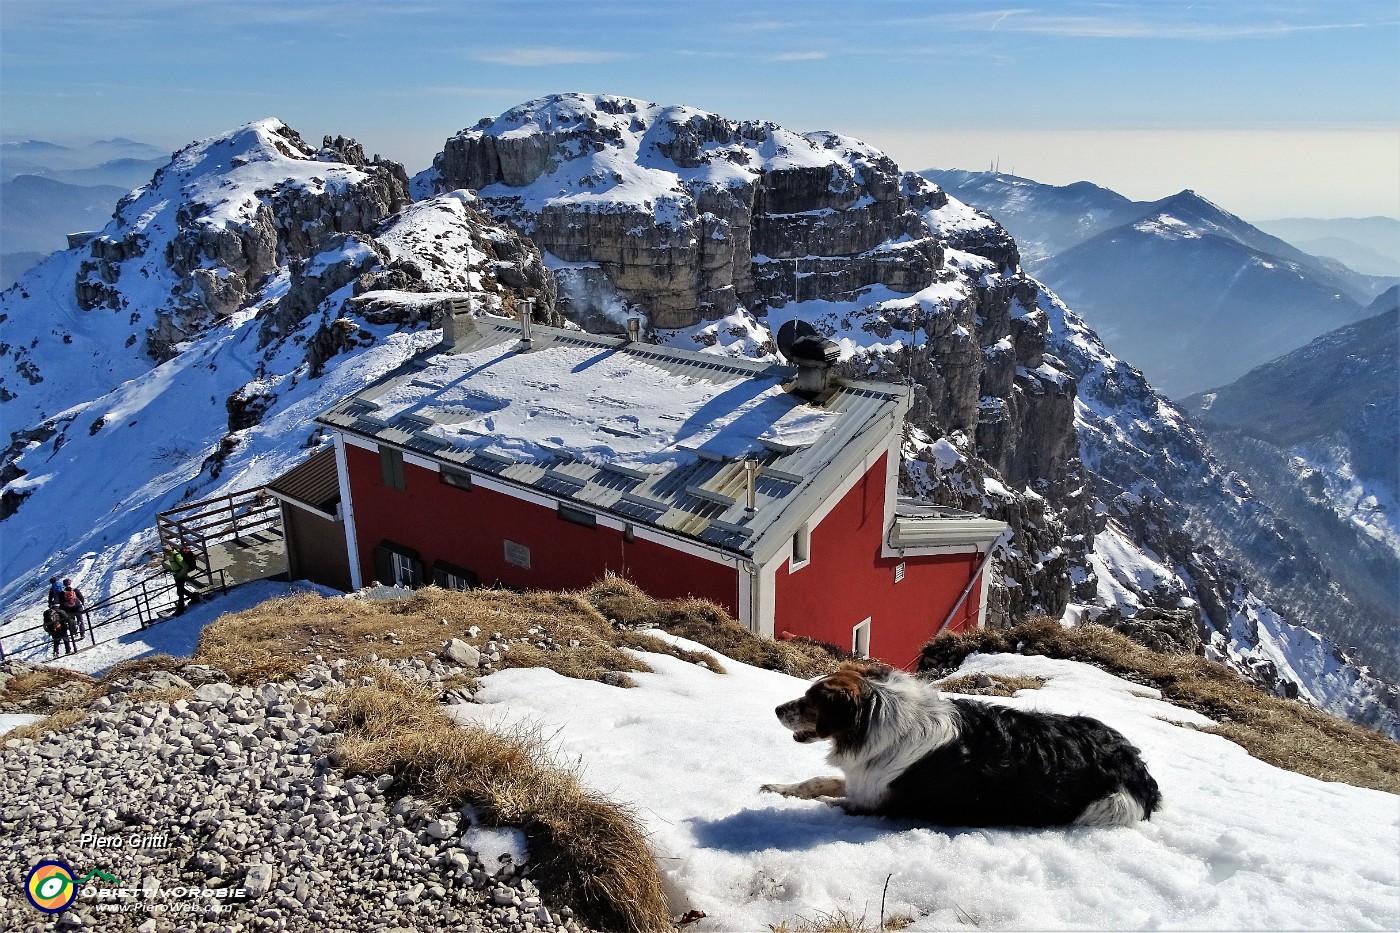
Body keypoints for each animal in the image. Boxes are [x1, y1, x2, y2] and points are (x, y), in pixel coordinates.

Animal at [767, 658, 1159, 823]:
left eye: (811, 701)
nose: (776, 709)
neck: (880, 717)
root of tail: (1135, 765)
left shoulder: (879, 805)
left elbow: (831, 801)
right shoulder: (865, 781)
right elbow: (817, 781)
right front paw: (778, 788)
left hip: (1108, 806)